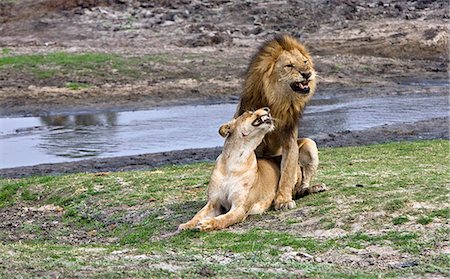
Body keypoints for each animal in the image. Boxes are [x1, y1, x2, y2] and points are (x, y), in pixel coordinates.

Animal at [234, 35, 326, 210]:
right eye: (289, 65)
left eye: (305, 62)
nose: (307, 74)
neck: (278, 101)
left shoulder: (290, 140)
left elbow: (288, 173)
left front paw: (283, 200)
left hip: (309, 144)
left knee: (301, 183)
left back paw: (310, 188)